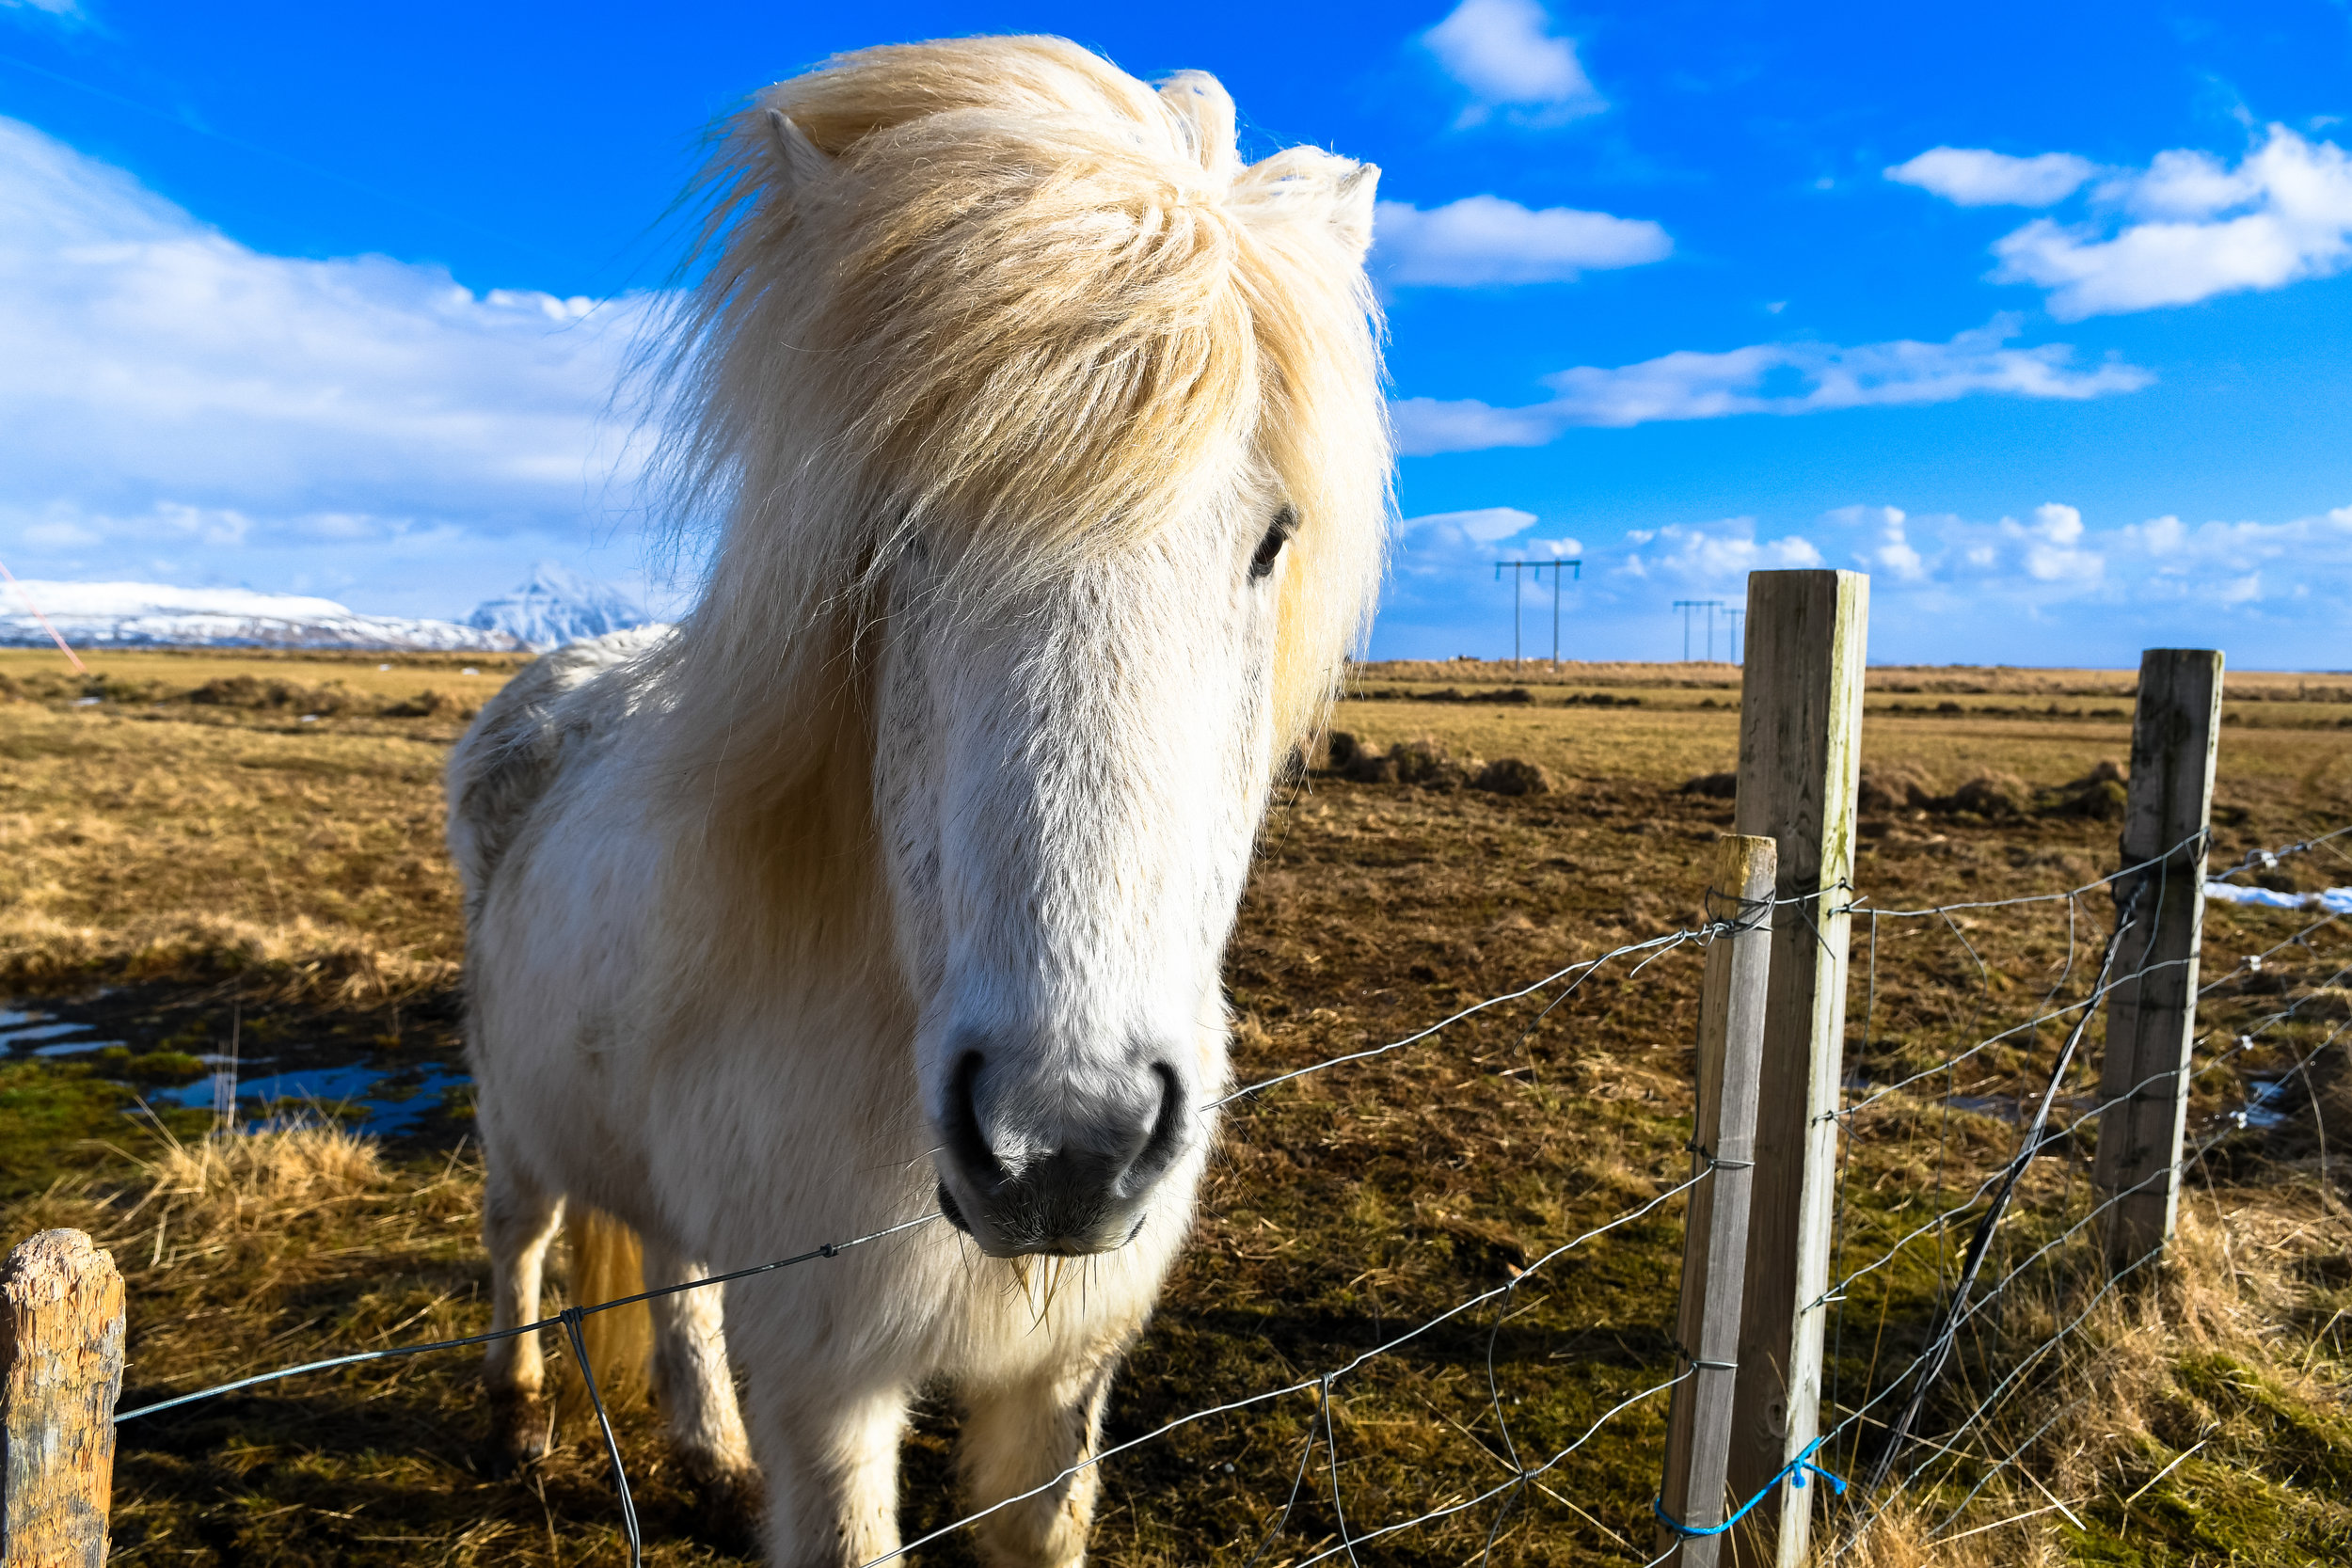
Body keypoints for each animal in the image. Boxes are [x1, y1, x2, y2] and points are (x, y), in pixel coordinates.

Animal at [446, 35, 1390, 1565]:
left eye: (1270, 540)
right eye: (904, 533)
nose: (1066, 1147)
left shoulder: (1058, 1375)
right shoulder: (829, 1380)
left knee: (674, 1273)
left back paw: (708, 1453)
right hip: (515, 1115)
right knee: (519, 1240)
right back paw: (515, 1418)